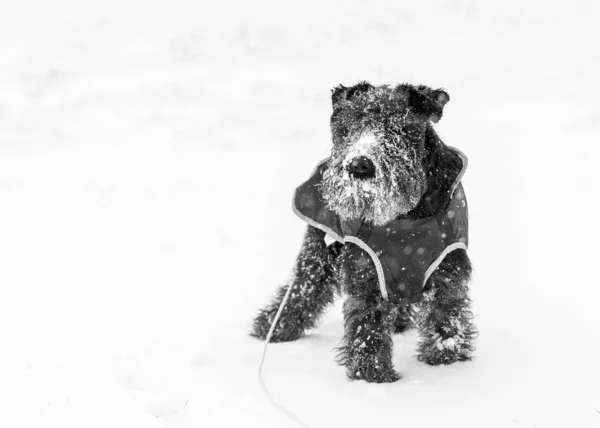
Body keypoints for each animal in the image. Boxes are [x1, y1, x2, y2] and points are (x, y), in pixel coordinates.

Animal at [251, 82, 476, 382]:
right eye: (346, 128)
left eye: (398, 127)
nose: (359, 165)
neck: (407, 218)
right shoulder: (366, 271)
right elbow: (367, 327)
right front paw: (371, 374)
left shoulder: (447, 268)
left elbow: (446, 315)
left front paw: (445, 359)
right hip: (318, 252)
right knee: (301, 290)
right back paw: (273, 327)